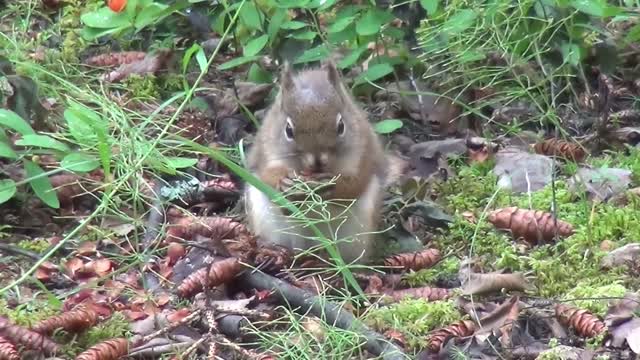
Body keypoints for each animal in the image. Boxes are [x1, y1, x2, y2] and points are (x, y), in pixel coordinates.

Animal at [244, 59, 384, 264]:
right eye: (288, 130)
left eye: (341, 126)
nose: (318, 161)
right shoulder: (264, 151)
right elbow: (266, 176)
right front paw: (285, 184)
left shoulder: (364, 153)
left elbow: (355, 183)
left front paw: (330, 185)